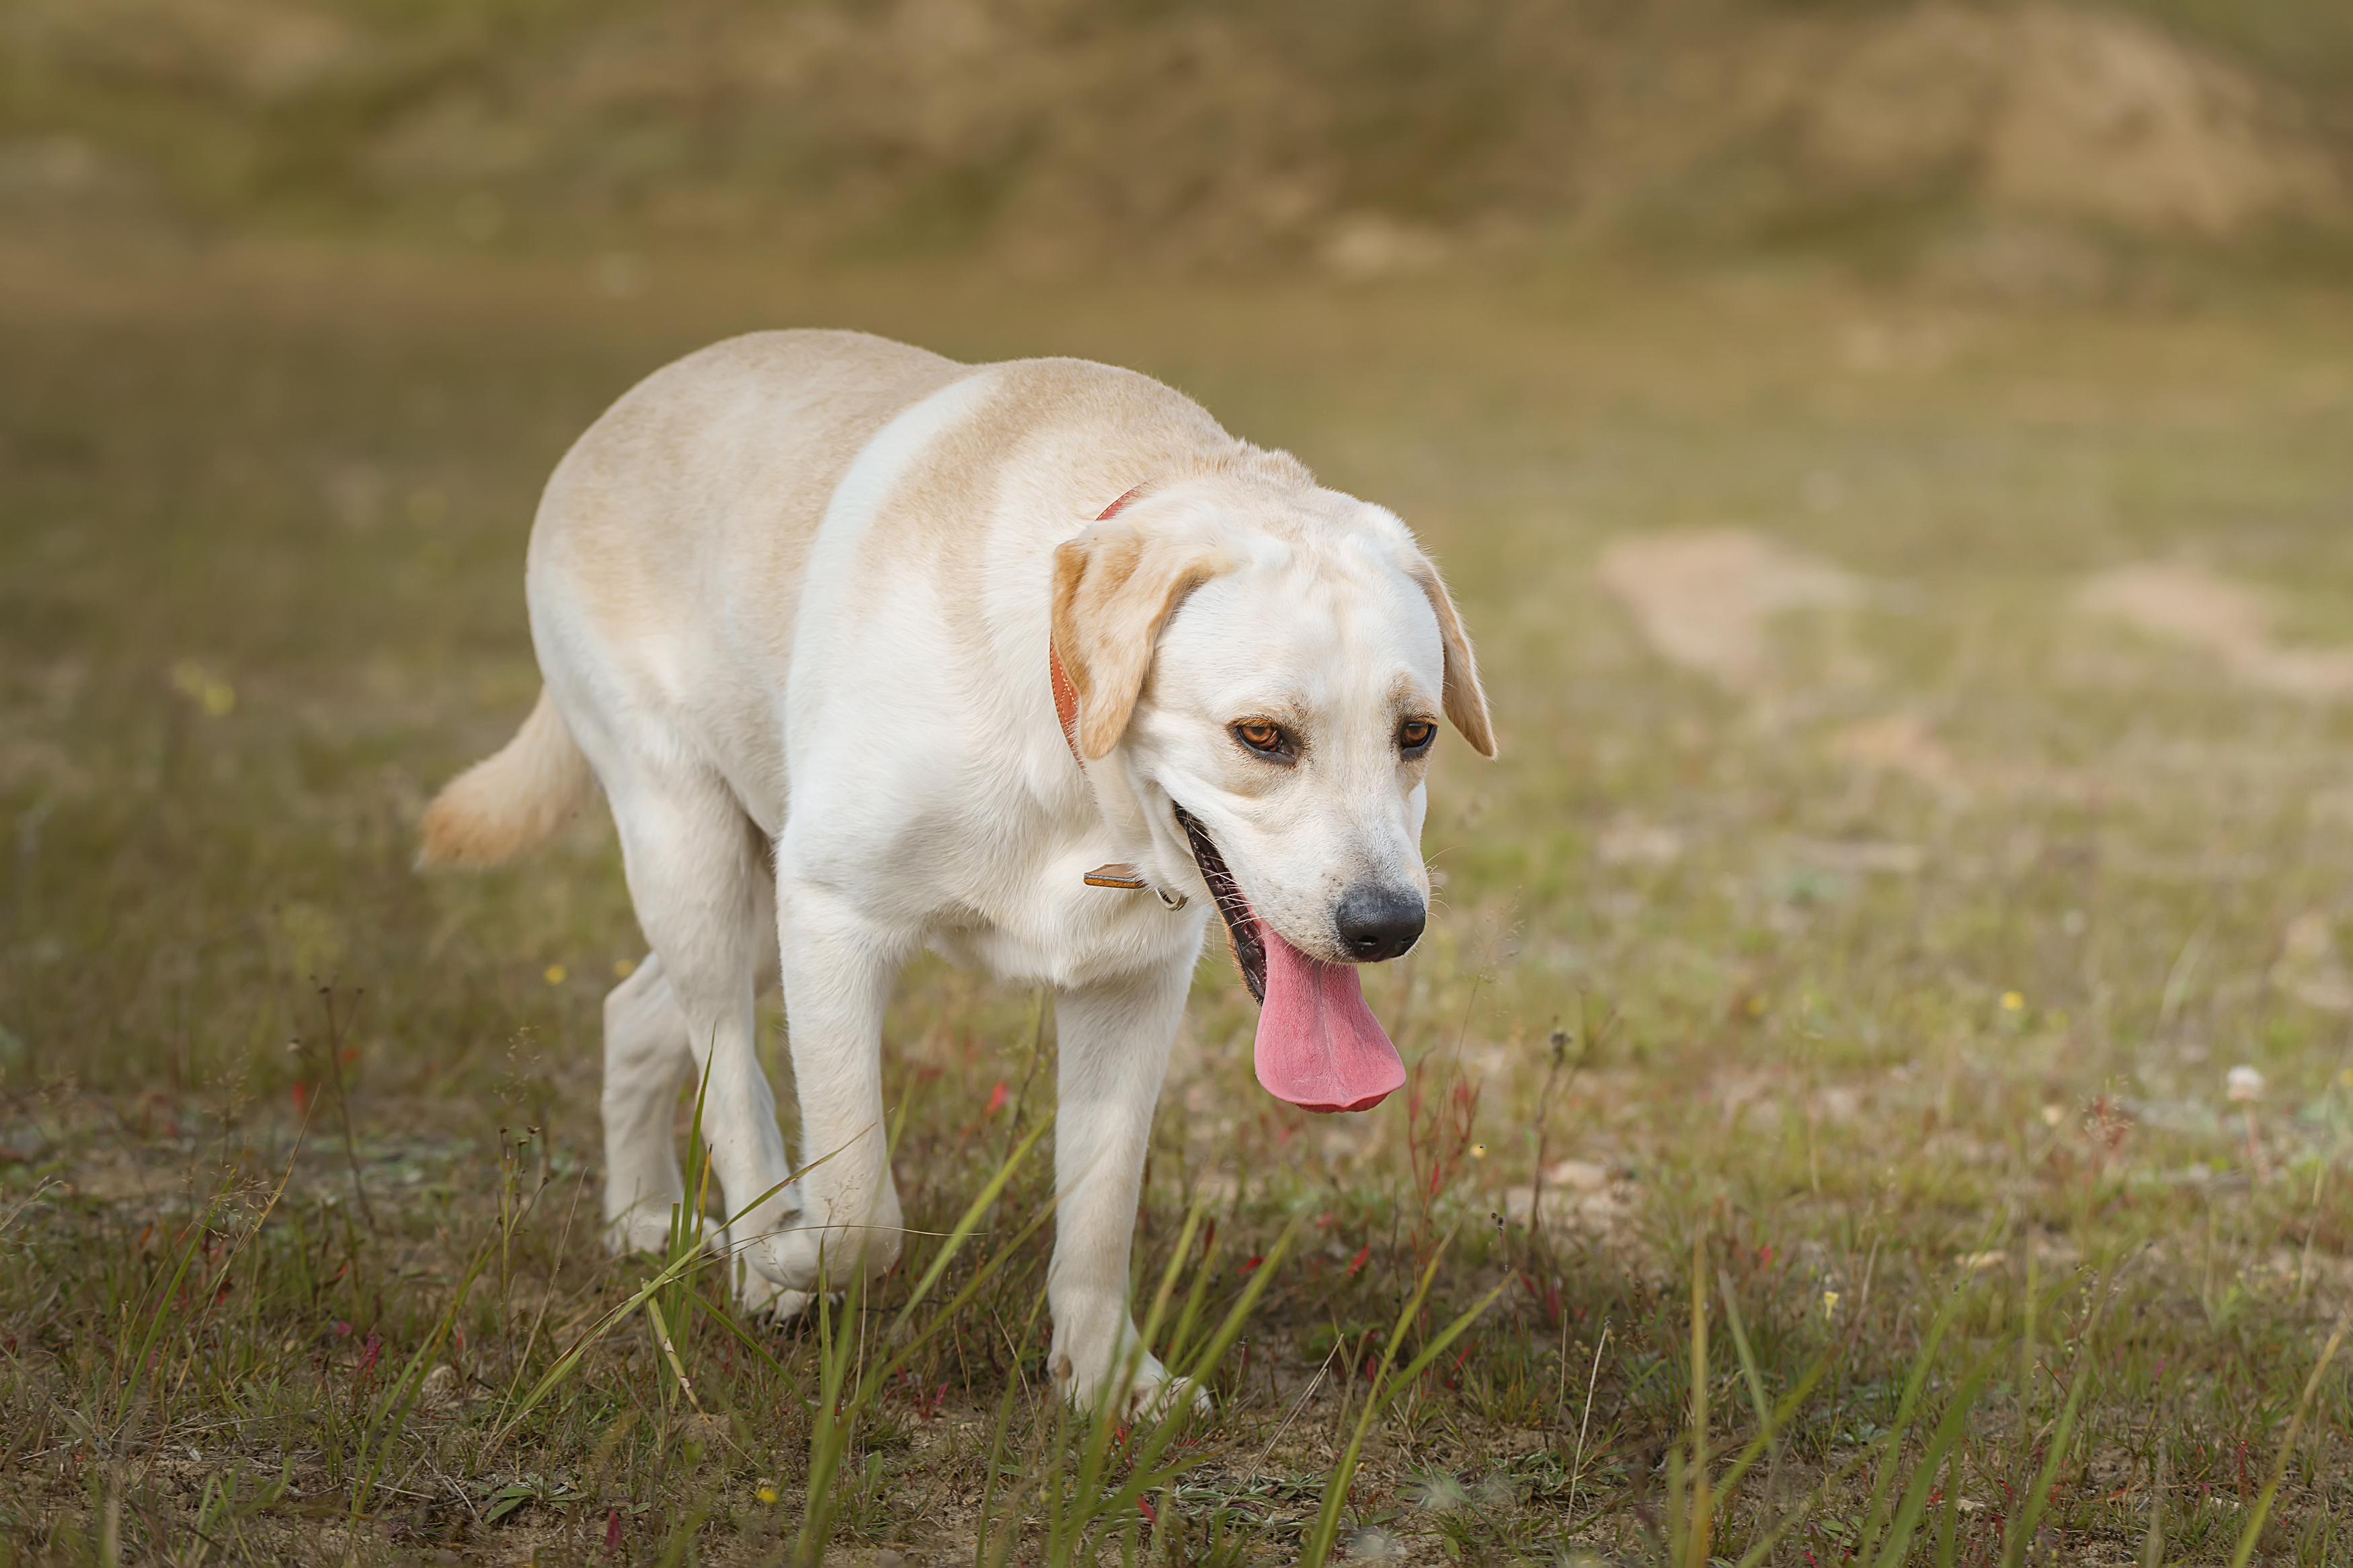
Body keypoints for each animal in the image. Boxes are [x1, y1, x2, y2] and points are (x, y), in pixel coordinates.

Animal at [421, 329, 1487, 1410]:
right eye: (1262, 736)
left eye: (1417, 734)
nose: (1388, 925)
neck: (1070, 759)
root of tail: (626, 406)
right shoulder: (833, 919)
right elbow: (860, 1205)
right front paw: (793, 1255)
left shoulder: (1131, 984)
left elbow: (1100, 1207)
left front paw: (1107, 1382)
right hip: (695, 851)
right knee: (726, 1068)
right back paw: (752, 1250)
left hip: (757, 897)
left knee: (634, 1014)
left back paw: (642, 1219)